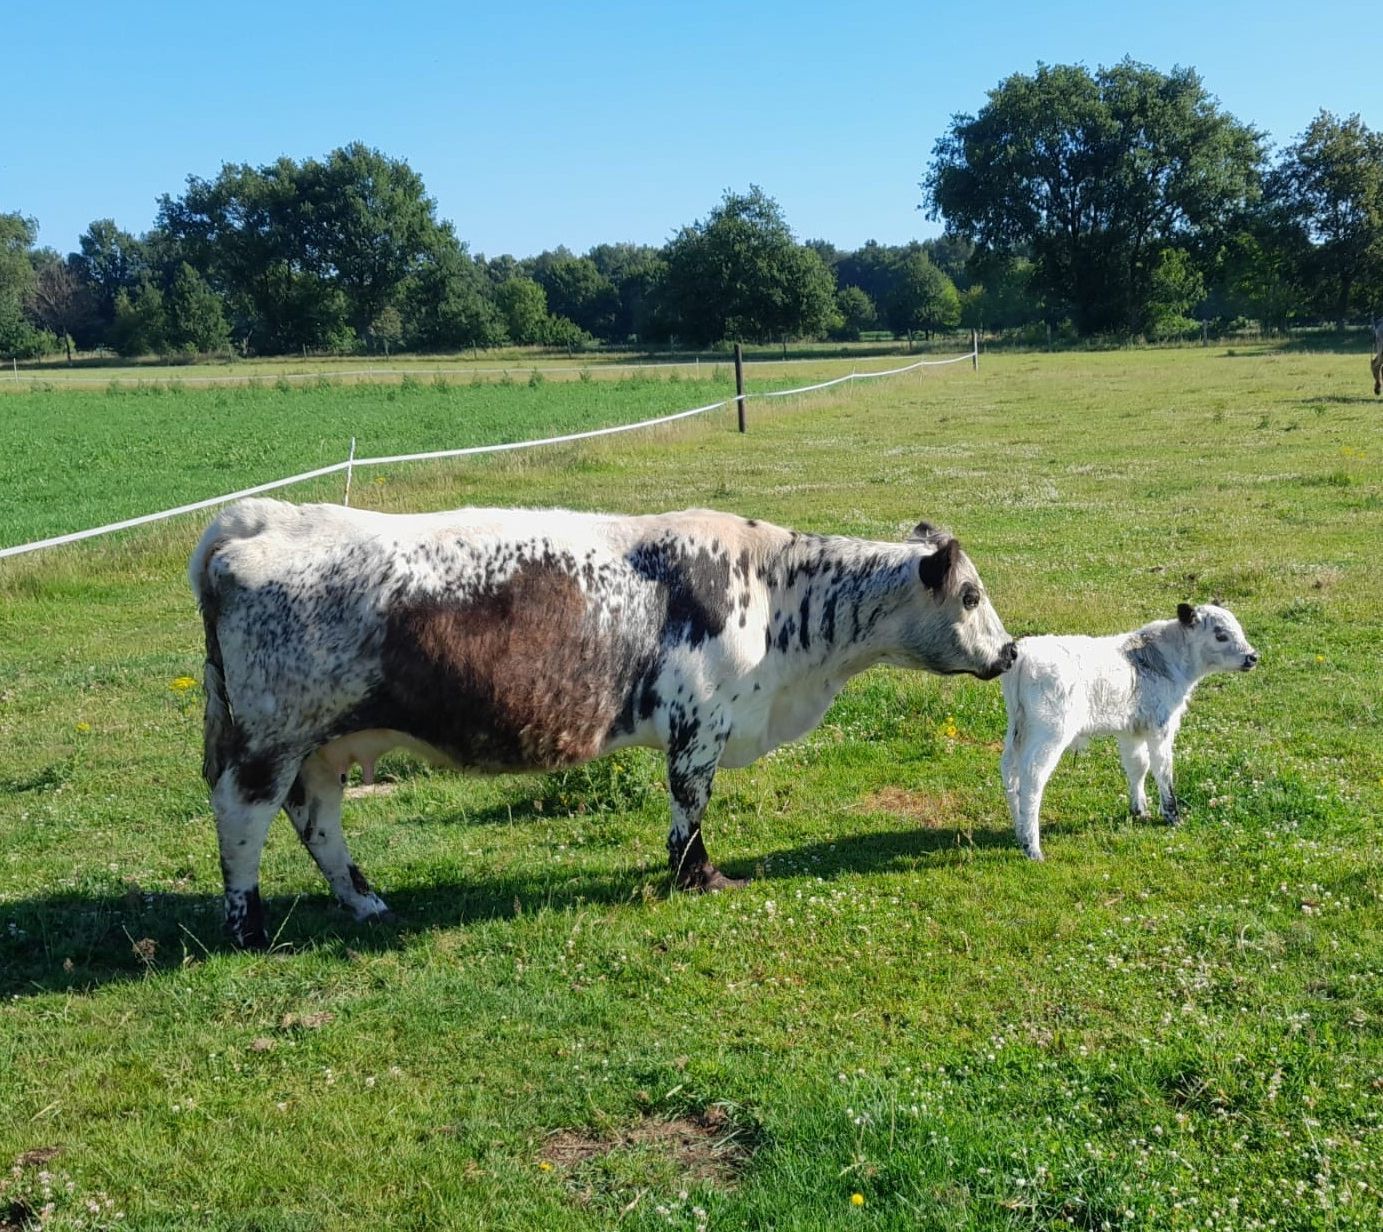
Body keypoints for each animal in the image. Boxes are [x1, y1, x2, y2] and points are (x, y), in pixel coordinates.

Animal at [191, 499, 1017, 948]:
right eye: (970, 595)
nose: (1009, 651)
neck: (773, 593)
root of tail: (261, 517)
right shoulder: (699, 725)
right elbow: (689, 809)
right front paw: (699, 877)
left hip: (321, 746)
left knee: (316, 822)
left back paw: (364, 902)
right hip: (268, 738)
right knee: (241, 819)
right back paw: (249, 928)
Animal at [999, 603, 1258, 861]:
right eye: (1220, 635)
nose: (1253, 657)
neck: (1165, 658)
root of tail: (1024, 651)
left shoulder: (1131, 730)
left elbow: (1138, 765)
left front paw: (1139, 810)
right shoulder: (1161, 725)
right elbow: (1163, 769)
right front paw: (1172, 815)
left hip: (1017, 729)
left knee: (1010, 772)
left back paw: (1020, 832)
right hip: (1049, 733)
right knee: (1032, 778)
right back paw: (1033, 847)